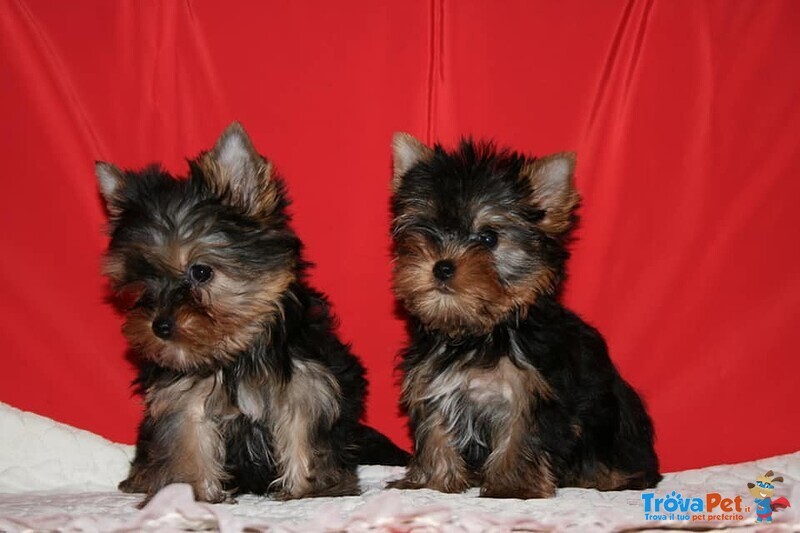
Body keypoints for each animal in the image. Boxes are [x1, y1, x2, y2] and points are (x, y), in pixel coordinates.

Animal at [97, 121, 410, 502]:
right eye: (144, 283)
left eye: (201, 271)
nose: (160, 326)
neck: (238, 350)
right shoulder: (181, 397)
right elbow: (188, 438)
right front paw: (189, 492)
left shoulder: (309, 385)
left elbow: (304, 433)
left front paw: (310, 489)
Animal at [384, 134, 660, 498]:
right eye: (426, 228)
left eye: (489, 237)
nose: (442, 266)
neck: (477, 332)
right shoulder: (435, 384)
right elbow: (435, 431)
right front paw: (431, 480)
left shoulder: (531, 391)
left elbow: (521, 437)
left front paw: (511, 487)